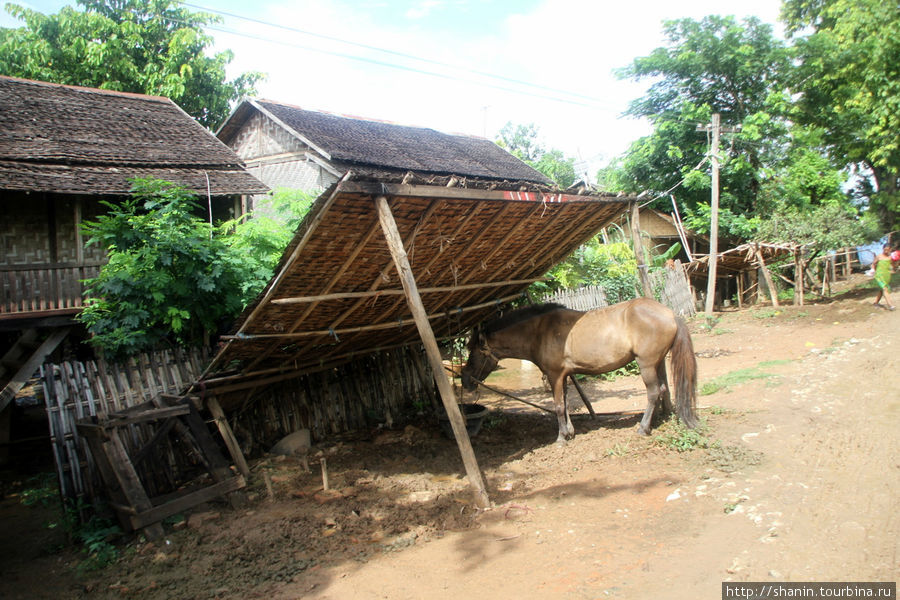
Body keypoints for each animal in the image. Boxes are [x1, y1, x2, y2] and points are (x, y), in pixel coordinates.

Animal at [460, 298, 700, 442]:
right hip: (657, 363)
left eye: (473, 352)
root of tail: (670, 314)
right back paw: (654, 422)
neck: (540, 331)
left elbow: (558, 406)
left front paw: (561, 437)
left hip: (646, 364)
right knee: (662, 390)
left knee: (652, 392)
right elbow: (565, 404)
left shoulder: (555, 375)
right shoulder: (564, 376)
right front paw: (570, 432)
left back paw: (642, 427)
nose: (465, 380)